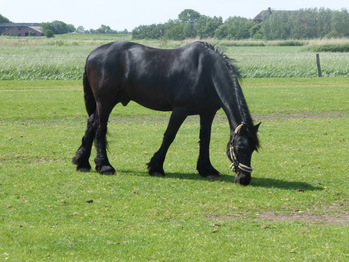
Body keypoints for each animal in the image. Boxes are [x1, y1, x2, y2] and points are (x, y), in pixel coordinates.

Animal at [73, 40, 258, 184]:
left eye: (253, 149)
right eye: (240, 148)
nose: (244, 179)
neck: (206, 71)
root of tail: (92, 54)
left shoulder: (207, 113)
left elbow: (205, 139)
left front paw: (207, 169)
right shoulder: (180, 110)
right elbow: (169, 136)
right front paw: (156, 167)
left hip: (103, 103)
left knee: (91, 124)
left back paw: (82, 162)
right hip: (105, 102)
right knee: (100, 128)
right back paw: (105, 166)